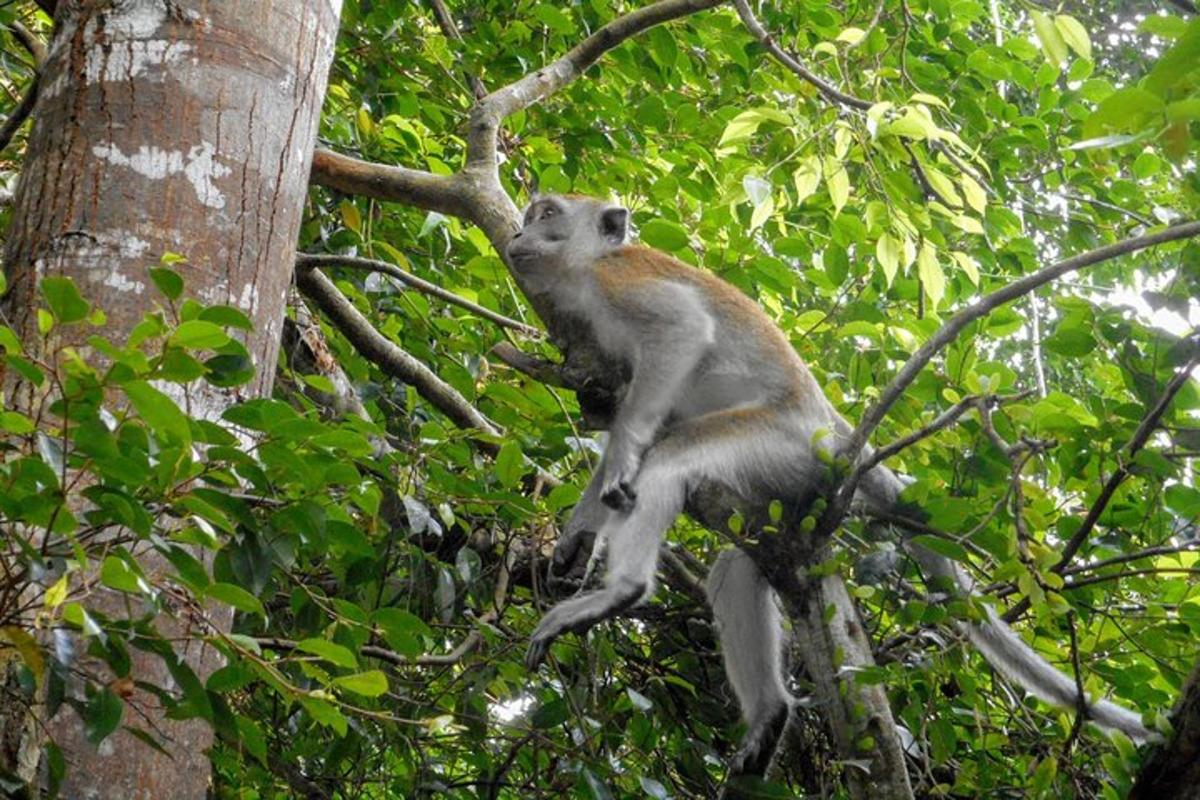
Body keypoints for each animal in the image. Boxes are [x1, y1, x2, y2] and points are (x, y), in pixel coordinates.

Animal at [508, 195, 1152, 786]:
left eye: (548, 213)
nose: (517, 232)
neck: (589, 267)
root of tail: (833, 430)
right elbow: (628, 410)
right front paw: (579, 533)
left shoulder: (620, 284)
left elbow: (679, 339)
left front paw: (619, 467)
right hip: (785, 482)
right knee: (736, 567)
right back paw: (770, 713)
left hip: (780, 441)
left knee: (671, 460)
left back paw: (622, 592)